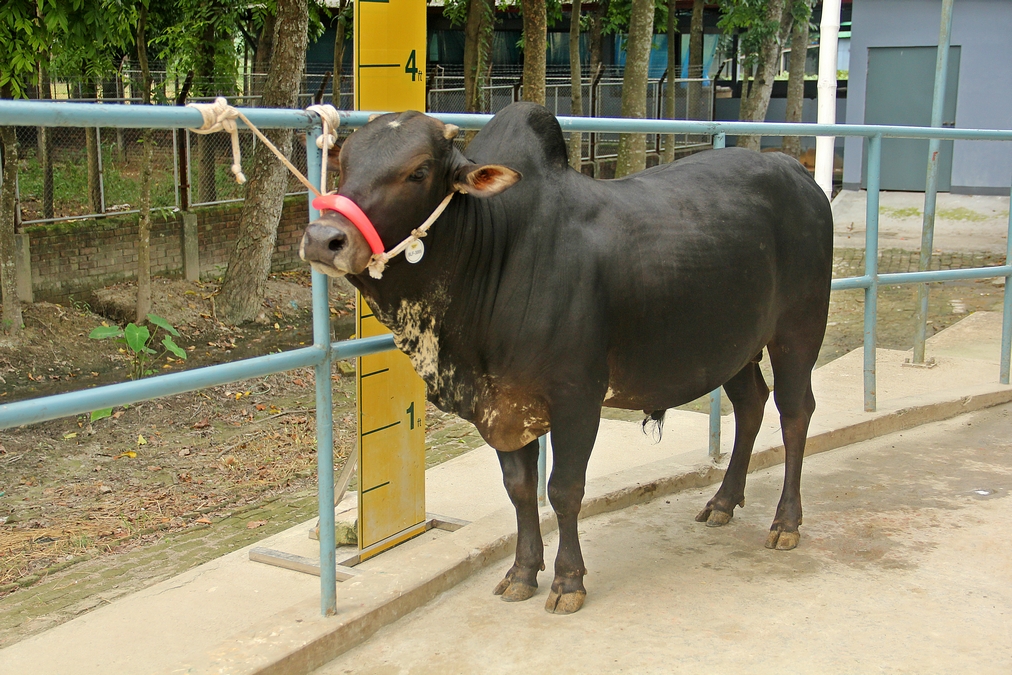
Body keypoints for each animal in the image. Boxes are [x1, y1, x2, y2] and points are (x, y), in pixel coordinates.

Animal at [300, 102, 833, 614]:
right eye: (344, 163)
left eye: (419, 170)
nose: (324, 238)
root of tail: (793, 168)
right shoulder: (502, 407)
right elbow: (519, 489)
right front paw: (521, 572)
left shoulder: (577, 399)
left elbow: (563, 489)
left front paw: (567, 580)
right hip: (732, 348)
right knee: (751, 405)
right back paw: (723, 501)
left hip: (798, 330)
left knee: (795, 413)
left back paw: (786, 521)